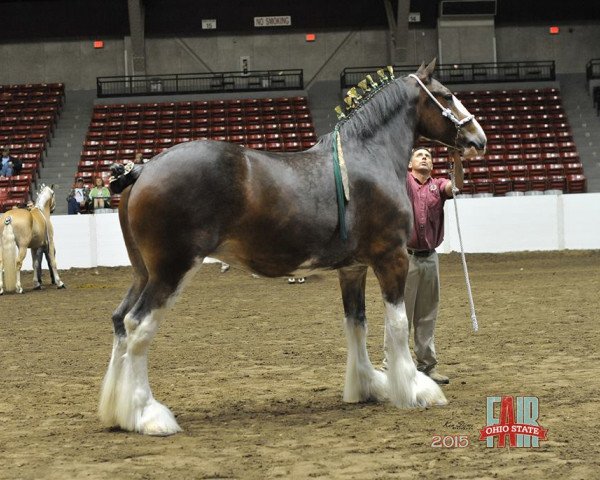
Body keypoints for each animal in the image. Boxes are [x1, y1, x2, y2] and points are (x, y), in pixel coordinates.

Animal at [99, 60, 488, 436]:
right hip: (171, 271)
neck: (367, 158)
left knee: (119, 321)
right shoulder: (391, 258)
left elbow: (356, 323)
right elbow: (397, 322)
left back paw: (119, 412)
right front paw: (415, 389)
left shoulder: (353, 268)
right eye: (448, 95)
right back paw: (147, 415)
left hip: (143, 273)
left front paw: (366, 387)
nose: (479, 139)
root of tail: (142, 170)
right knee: (137, 326)